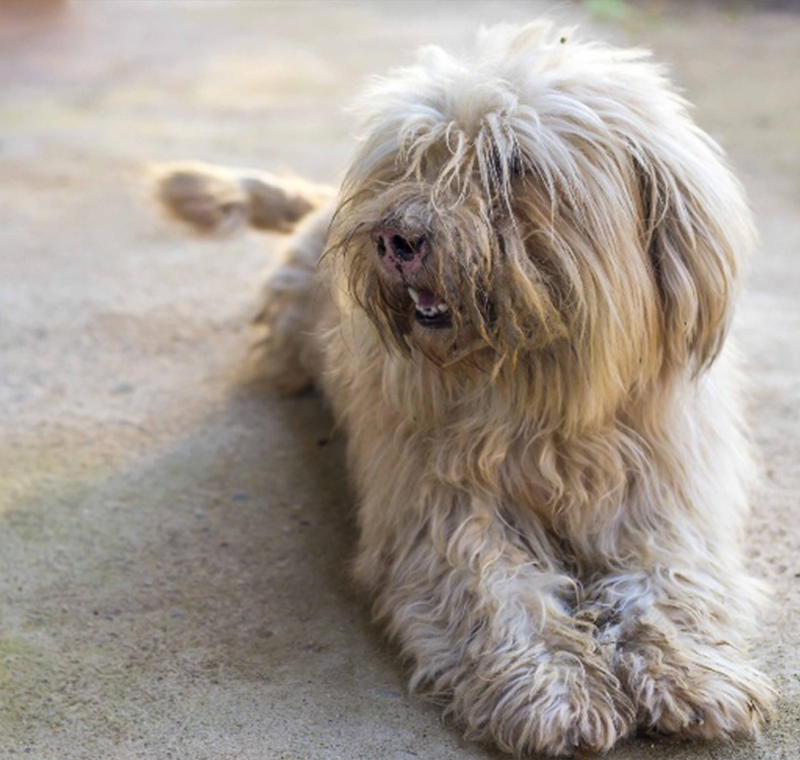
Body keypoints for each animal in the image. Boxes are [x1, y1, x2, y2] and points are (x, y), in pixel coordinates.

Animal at [156, 20, 776, 756]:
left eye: (511, 166)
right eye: (413, 160)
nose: (395, 237)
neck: (543, 400)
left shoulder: (663, 498)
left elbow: (670, 578)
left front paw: (690, 670)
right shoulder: (444, 511)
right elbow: (499, 595)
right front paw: (557, 691)